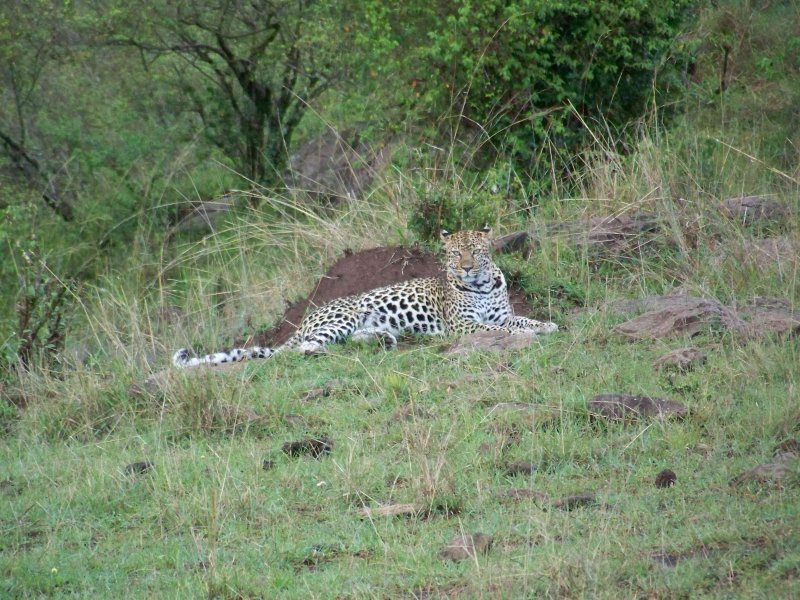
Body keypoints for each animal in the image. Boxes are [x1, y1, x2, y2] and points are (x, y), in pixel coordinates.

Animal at [170, 229, 556, 368]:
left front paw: (546, 324)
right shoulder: (464, 327)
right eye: (454, 253)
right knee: (301, 348)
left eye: (475, 251)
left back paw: (383, 340)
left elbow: (519, 319)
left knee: (352, 339)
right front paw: (527, 334)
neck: (482, 285)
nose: (465, 268)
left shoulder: (500, 314)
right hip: (344, 316)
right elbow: (503, 331)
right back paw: (322, 351)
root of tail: (305, 317)